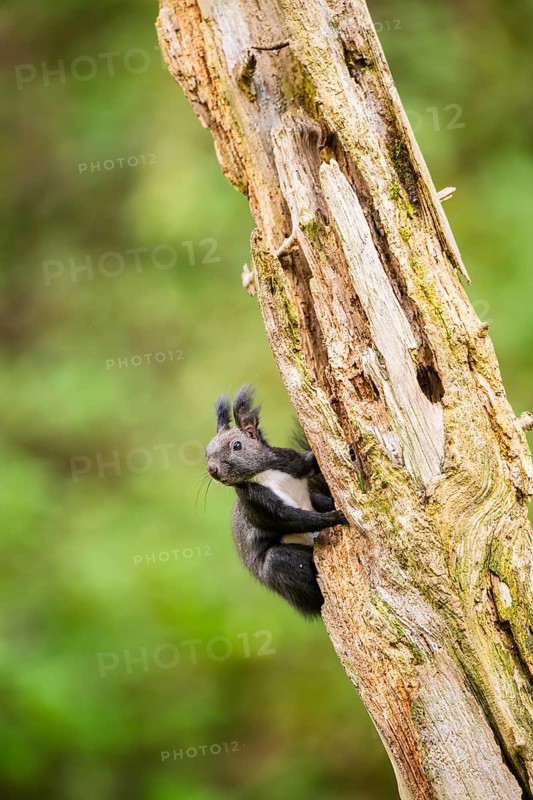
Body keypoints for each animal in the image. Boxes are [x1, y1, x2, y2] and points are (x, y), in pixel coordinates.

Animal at [205, 386, 347, 617]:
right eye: (206, 453)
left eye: (237, 445)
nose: (212, 469)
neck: (263, 474)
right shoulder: (257, 503)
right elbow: (292, 519)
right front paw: (334, 517)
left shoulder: (290, 460)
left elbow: (310, 462)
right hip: (280, 565)